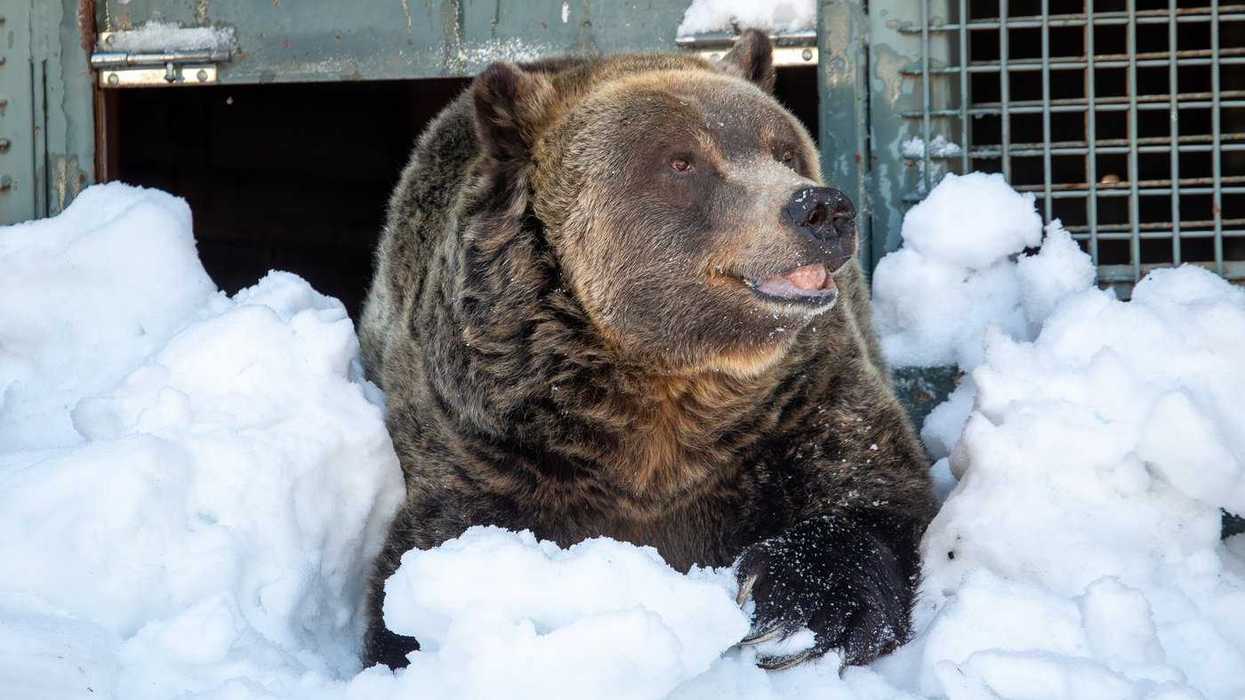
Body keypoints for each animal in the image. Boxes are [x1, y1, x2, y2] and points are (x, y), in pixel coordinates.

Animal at [358, 30, 936, 671]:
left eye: (785, 151)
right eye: (681, 161)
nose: (820, 208)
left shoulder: (801, 399)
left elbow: (872, 494)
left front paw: (794, 610)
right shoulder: (488, 434)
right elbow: (432, 550)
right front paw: (416, 641)